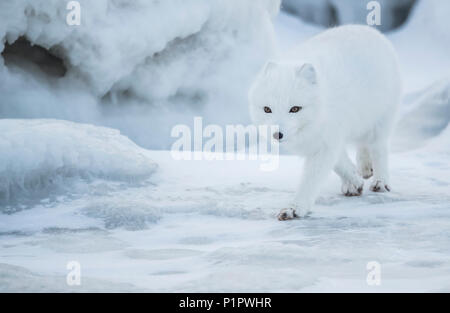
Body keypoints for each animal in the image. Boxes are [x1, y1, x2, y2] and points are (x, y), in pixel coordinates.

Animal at [248, 25, 402, 219]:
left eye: (295, 109)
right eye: (267, 109)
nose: (277, 134)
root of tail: (369, 30)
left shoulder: (327, 141)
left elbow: (312, 179)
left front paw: (295, 208)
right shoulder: (327, 139)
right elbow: (340, 164)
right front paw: (354, 182)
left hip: (381, 121)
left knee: (378, 148)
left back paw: (381, 182)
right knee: (362, 145)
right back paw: (365, 168)